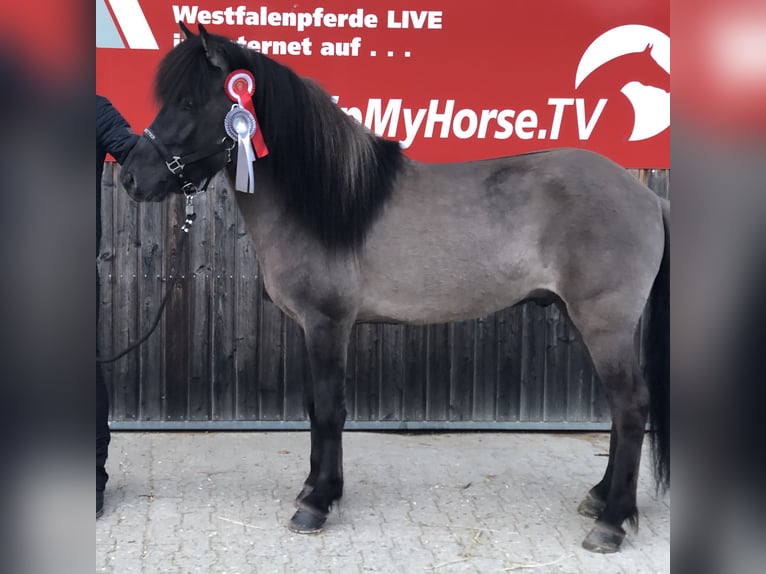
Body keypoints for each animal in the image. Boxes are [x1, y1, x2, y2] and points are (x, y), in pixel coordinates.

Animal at [120, 24, 669, 554]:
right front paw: (314, 488)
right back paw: (598, 498)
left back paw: (611, 523)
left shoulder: (328, 323)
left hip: (604, 323)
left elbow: (329, 410)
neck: (327, 200)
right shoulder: (312, 328)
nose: (130, 176)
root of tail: (644, 195)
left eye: (188, 102)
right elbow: (315, 407)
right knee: (618, 409)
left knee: (630, 406)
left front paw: (316, 504)